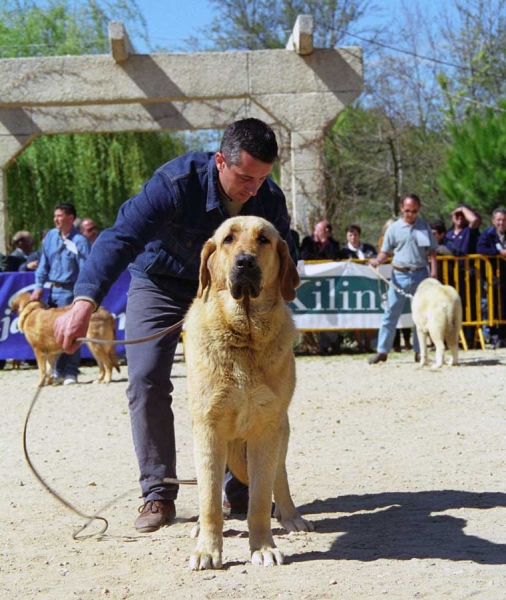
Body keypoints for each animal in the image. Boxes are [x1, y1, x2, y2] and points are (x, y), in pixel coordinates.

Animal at [184, 217, 314, 572]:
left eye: (263, 240)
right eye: (228, 239)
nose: (245, 262)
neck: (244, 335)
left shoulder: (266, 430)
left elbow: (258, 500)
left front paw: (263, 548)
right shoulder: (208, 428)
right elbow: (210, 500)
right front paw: (207, 550)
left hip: (281, 431)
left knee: (279, 477)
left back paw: (291, 516)